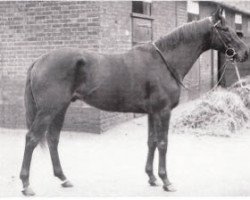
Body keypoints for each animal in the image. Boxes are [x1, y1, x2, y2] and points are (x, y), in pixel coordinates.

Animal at [19, 8, 248, 195]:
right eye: (226, 29)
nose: (245, 53)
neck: (165, 62)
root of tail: (39, 60)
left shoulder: (152, 112)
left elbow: (151, 141)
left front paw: (152, 177)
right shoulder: (164, 111)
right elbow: (163, 143)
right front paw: (166, 181)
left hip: (60, 108)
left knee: (53, 139)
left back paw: (64, 178)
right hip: (49, 110)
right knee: (32, 138)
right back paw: (26, 184)